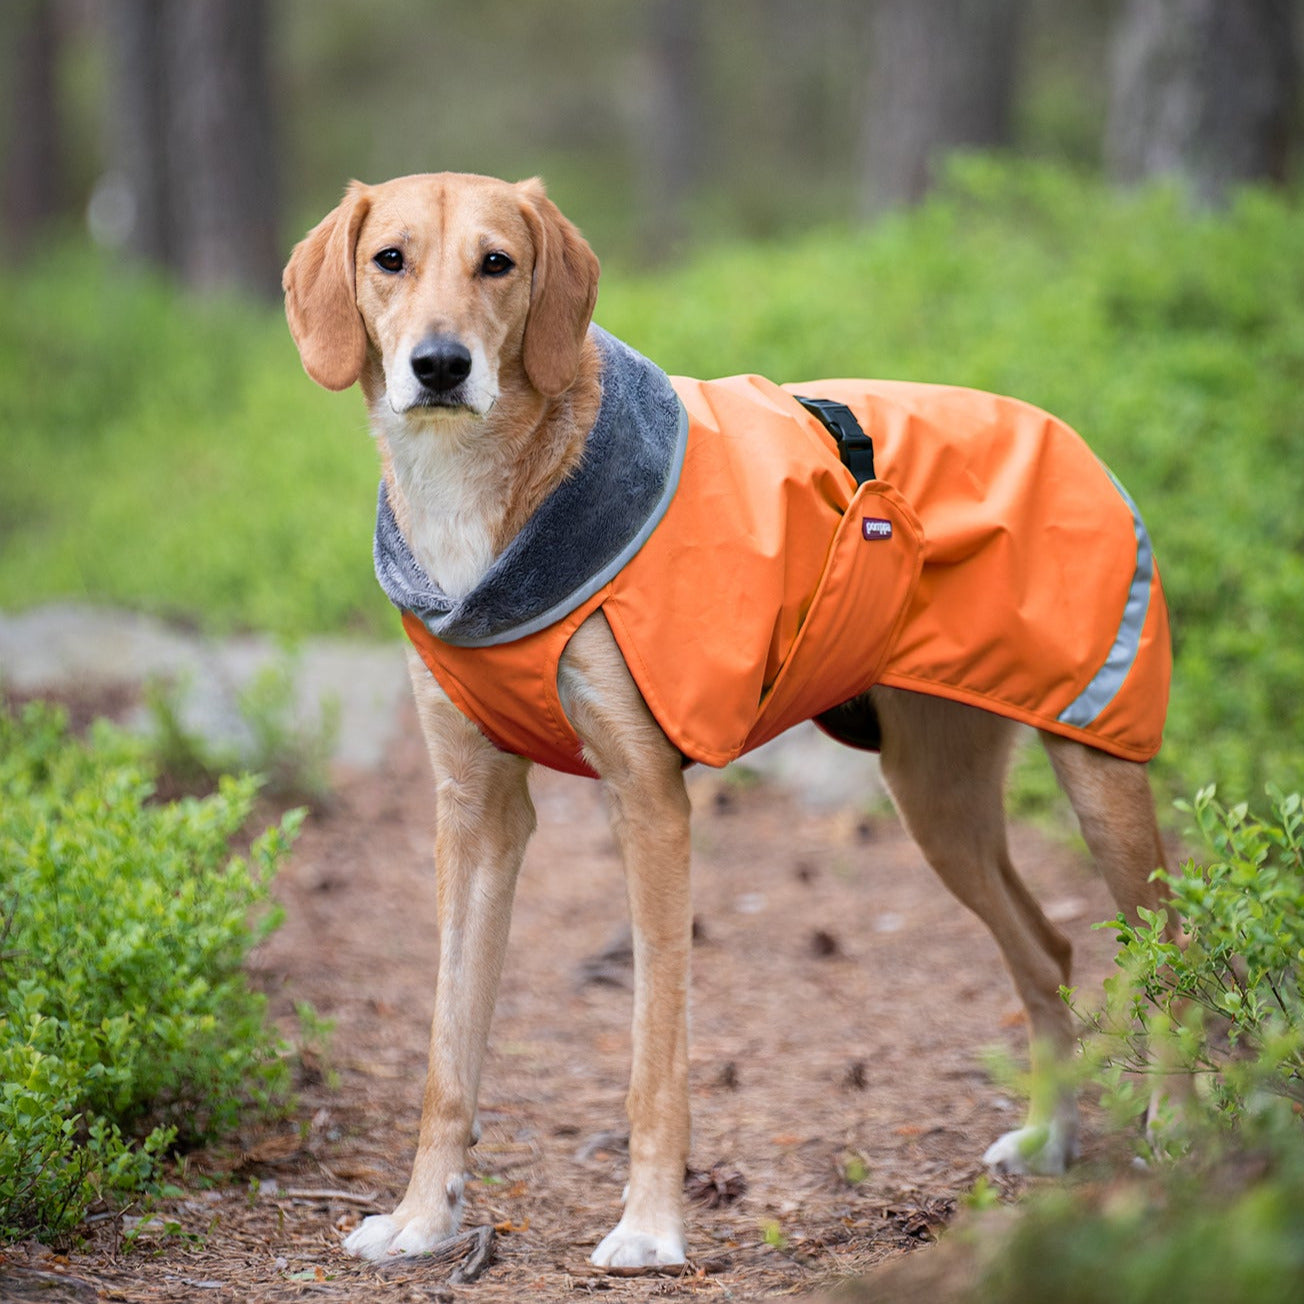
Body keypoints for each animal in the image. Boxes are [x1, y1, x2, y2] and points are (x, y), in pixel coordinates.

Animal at [282, 168, 1173, 1267]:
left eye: (498, 262)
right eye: (389, 260)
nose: (440, 366)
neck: (486, 506)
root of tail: (1062, 427)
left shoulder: (649, 802)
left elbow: (655, 1056)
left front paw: (649, 1227)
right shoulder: (474, 812)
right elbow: (448, 1052)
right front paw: (421, 1217)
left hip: (1099, 767)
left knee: (1173, 951)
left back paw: (1180, 1127)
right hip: (938, 800)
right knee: (1046, 950)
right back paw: (1052, 1139)